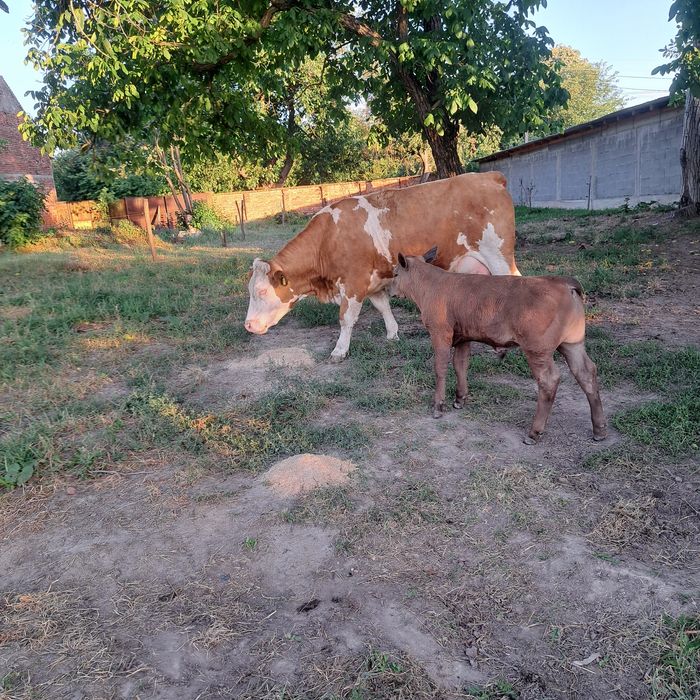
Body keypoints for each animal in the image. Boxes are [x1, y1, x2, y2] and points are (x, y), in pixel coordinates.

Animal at [245, 172, 520, 361]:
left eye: (261, 291)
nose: (247, 325)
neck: (328, 238)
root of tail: (490, 177)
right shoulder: (374, 281)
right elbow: (383, 307)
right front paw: (393, 335)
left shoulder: (353, 283)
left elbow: (346, 318)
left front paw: (339, 350)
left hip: (499, 256)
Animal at [390, 247, 607, 444]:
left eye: (395, 273)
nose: (390, 291)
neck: (431, 284)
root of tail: (564, 282)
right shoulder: (464, 336)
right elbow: (460, 365)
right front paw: (460, 399)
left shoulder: (440, 332)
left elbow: (440, 368)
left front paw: (438, 406)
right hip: (572, 343)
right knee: (586, 373)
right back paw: (599, 430)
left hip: (537, 350)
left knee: (549, 381)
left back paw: (534, 433)